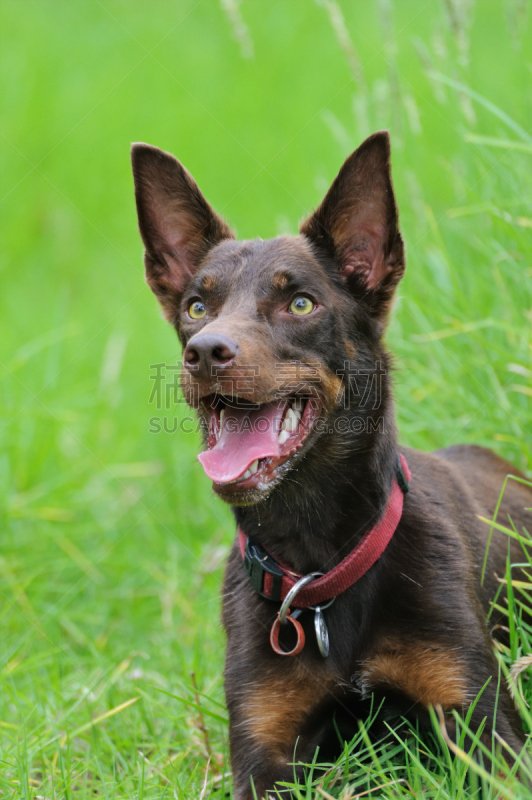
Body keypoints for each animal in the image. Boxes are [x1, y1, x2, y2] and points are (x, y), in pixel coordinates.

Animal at [131, 133, 528, 800]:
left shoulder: (485, 729)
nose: (205, 351)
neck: (319, 567)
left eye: (300, 303)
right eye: (196, 306)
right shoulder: (265, 752)